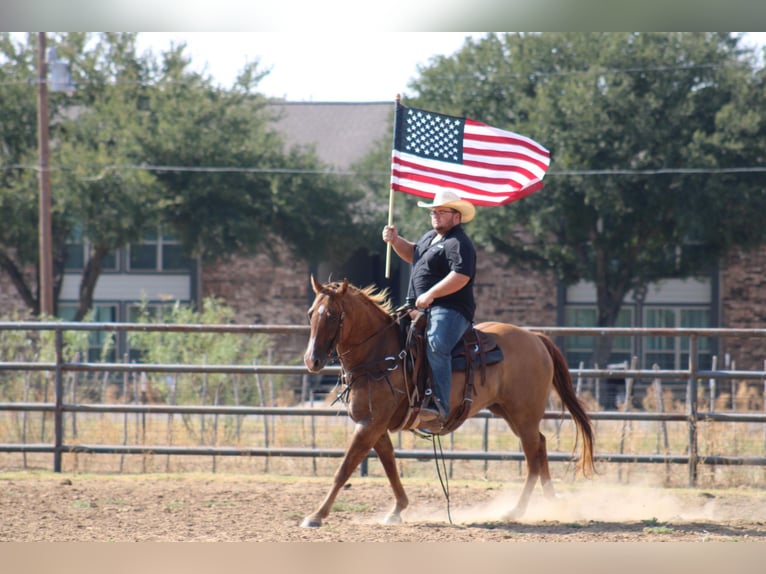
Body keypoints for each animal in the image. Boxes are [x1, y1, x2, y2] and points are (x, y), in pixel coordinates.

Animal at [300, 276, 592, 528]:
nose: (311, 360)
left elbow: (345, 468)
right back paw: (552, 500)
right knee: (540, 446)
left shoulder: (369, 425)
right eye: (311, 313)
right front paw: (398, 509)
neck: (382, 354)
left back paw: (516, 510)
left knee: (532, 456)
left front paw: (316, 515)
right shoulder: (375, 426)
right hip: (509, 412)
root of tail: (536, 339)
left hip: (524, 415)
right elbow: (390, 465)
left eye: (333, 315)